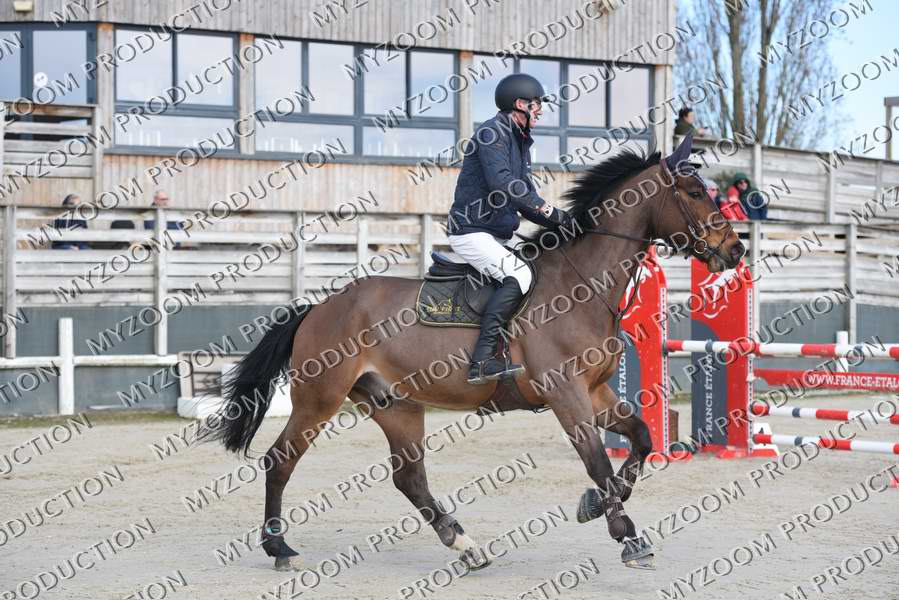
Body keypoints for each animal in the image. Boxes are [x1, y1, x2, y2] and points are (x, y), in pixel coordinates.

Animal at [200, 133, 744, 571]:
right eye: (695, 193)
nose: (735, 251)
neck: (581, 283)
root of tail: (319, 306)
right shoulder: (566, 394)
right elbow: (597, 461)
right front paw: (627, 536)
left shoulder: (596, 391)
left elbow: (642, 440)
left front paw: (595, 506)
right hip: (319, 399)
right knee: (279, 461)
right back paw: (280, 549)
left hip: (396, 404)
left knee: (409, 478)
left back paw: (464, 544)